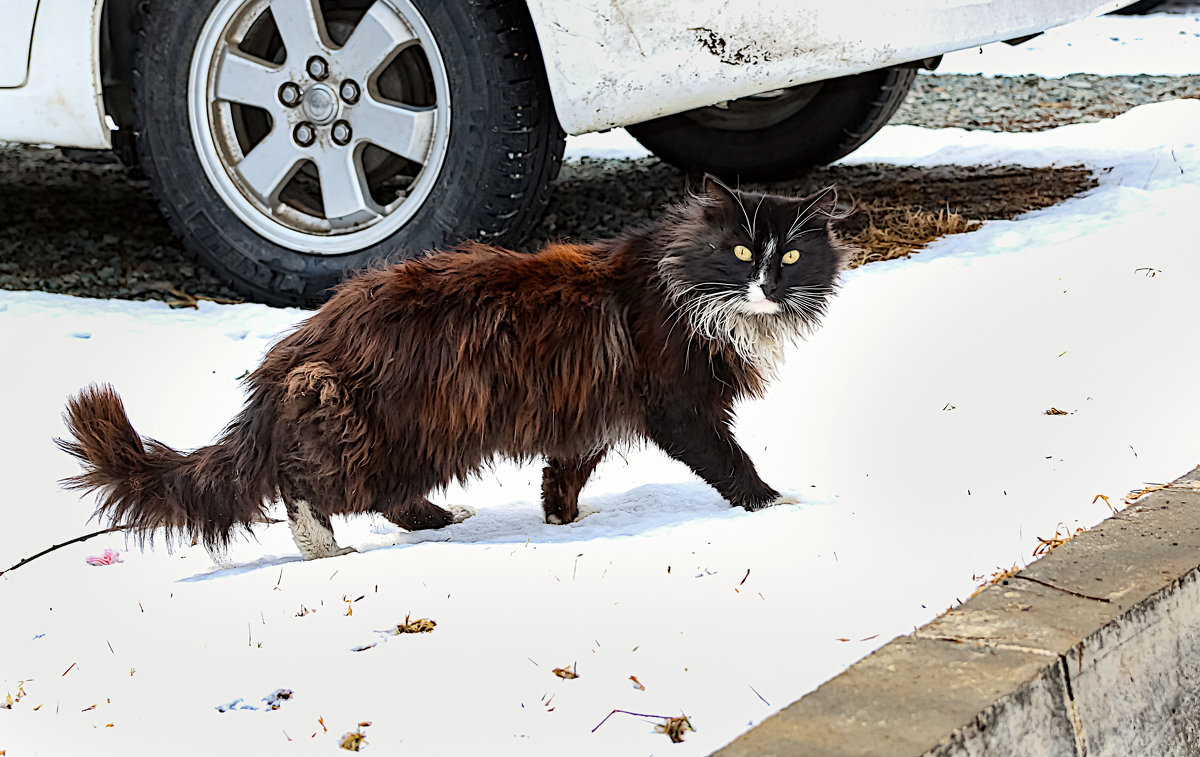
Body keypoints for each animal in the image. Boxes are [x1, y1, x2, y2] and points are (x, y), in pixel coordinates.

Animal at [56, 176, 844, 556]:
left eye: (791, 255)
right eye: (740, 252)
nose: (767, 284)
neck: (690, 283)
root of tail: (300, 347)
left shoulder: (588, 406)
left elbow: (566, 469)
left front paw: (560, 521)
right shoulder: (678, 403)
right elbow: (729, 461)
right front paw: (775, 504)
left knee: (379, 495)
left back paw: (442, 518)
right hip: (399, 423)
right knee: (311, 484)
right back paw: (321, 545)